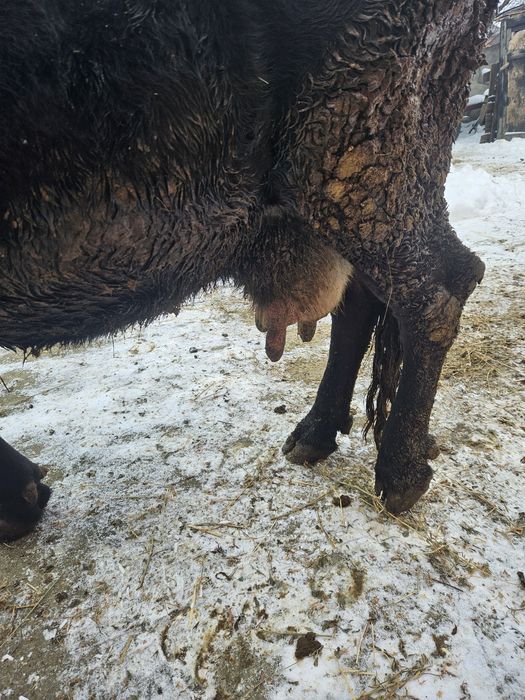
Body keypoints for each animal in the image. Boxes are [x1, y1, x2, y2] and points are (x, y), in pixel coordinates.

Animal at [0, 0, 497, 542]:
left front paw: (22, 497)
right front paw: (25, 494)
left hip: (363, 159)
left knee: (441, 287)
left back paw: (399, 475)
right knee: (368, 301)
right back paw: (313, 438)